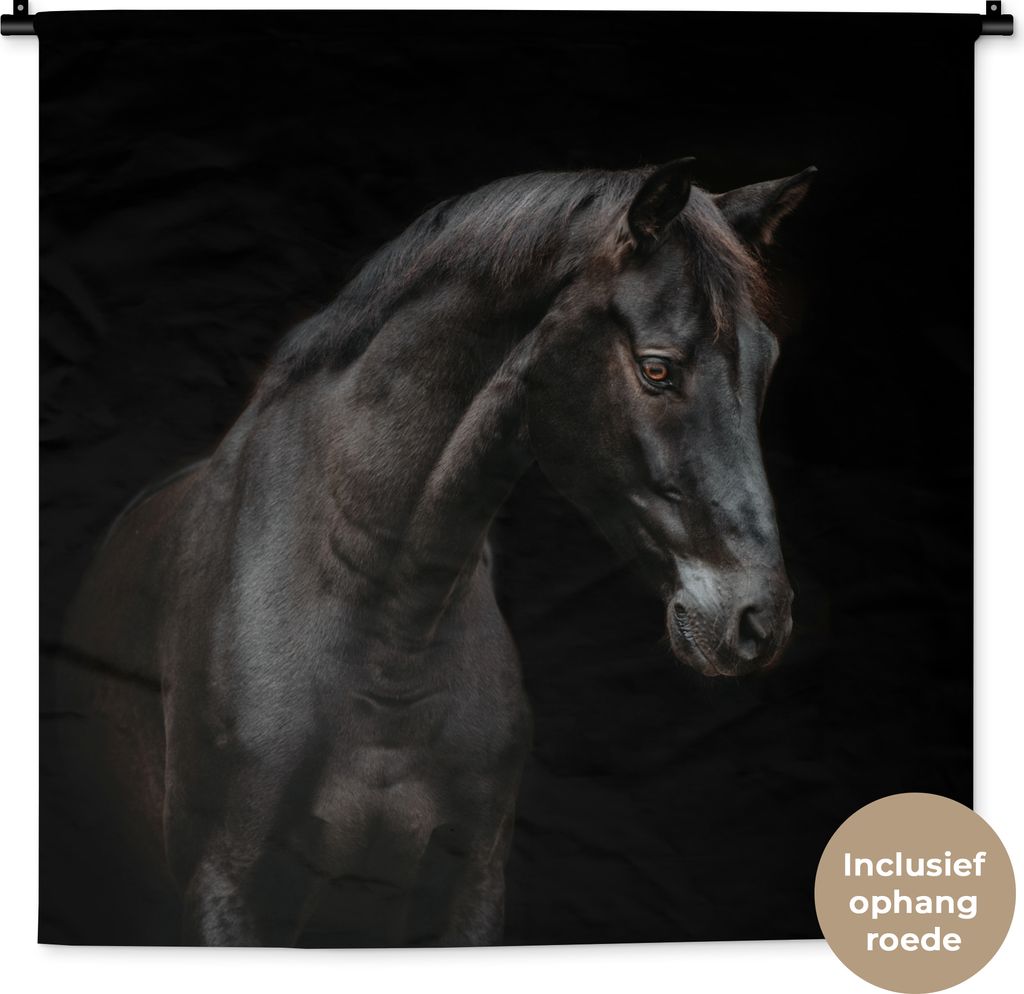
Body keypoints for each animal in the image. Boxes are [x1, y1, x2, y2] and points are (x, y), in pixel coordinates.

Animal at [59, 158, 815, 946]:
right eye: (658, 368)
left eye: (765, 365)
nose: (758, 621)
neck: (387, 636)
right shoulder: (224, 889)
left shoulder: (469, 889)